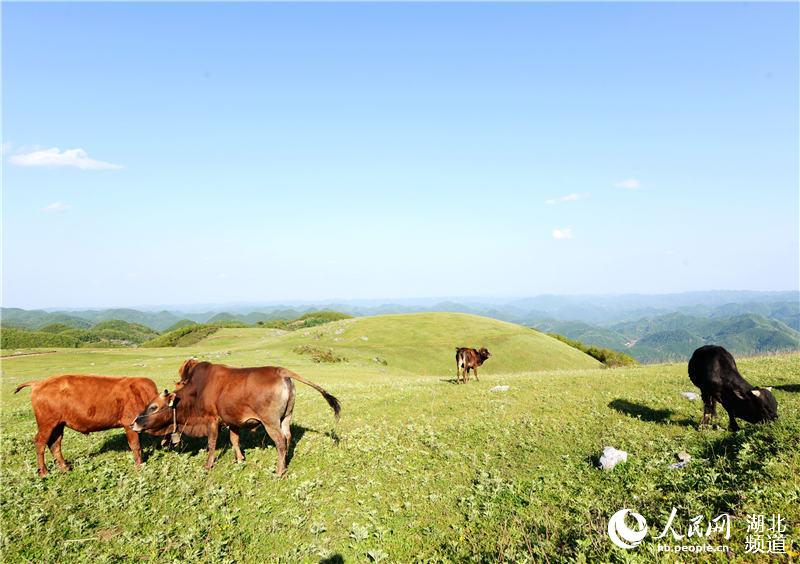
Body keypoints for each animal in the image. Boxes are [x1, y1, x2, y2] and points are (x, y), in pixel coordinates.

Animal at [14, 374, 159, 476]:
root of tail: (39, 383)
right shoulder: (129, 424)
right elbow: (135, 445)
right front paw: (139, 467)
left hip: (58, 425)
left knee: (55, 444)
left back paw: (65, 468)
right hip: (47, 424)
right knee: (40, 443)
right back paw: (44, 472)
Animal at [133, 362, 340, 476]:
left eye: (153, 407)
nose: (134, 423)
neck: (197, 392)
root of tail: (281, 371)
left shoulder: (212, 420)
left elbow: (212, 443)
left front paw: (208, 465)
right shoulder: (232, 421)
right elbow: (234, 440)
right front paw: (240, 459)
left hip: (270, 422)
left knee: (280, 441)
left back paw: (279, 471)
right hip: (286, 418)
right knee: (288, 437)